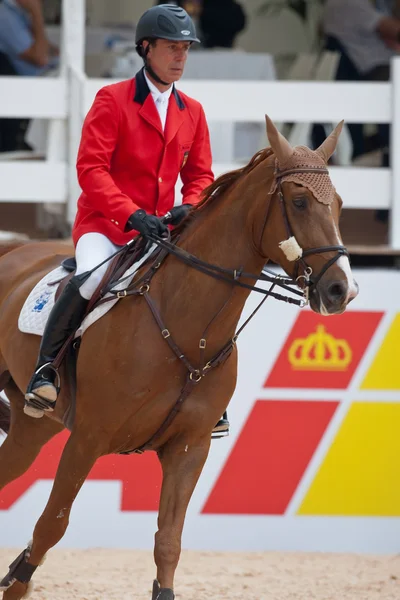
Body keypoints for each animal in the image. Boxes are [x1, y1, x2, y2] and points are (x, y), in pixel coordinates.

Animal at [0, 116, 358, 596]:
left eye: (338, 204)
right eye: (299, 202)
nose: (342, 291)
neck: (189, 329)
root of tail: (17, 248)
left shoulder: (190, 446)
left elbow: (168, 542)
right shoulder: (88, 438)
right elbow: (51, 526)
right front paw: (18, 579)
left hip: (32, 429)